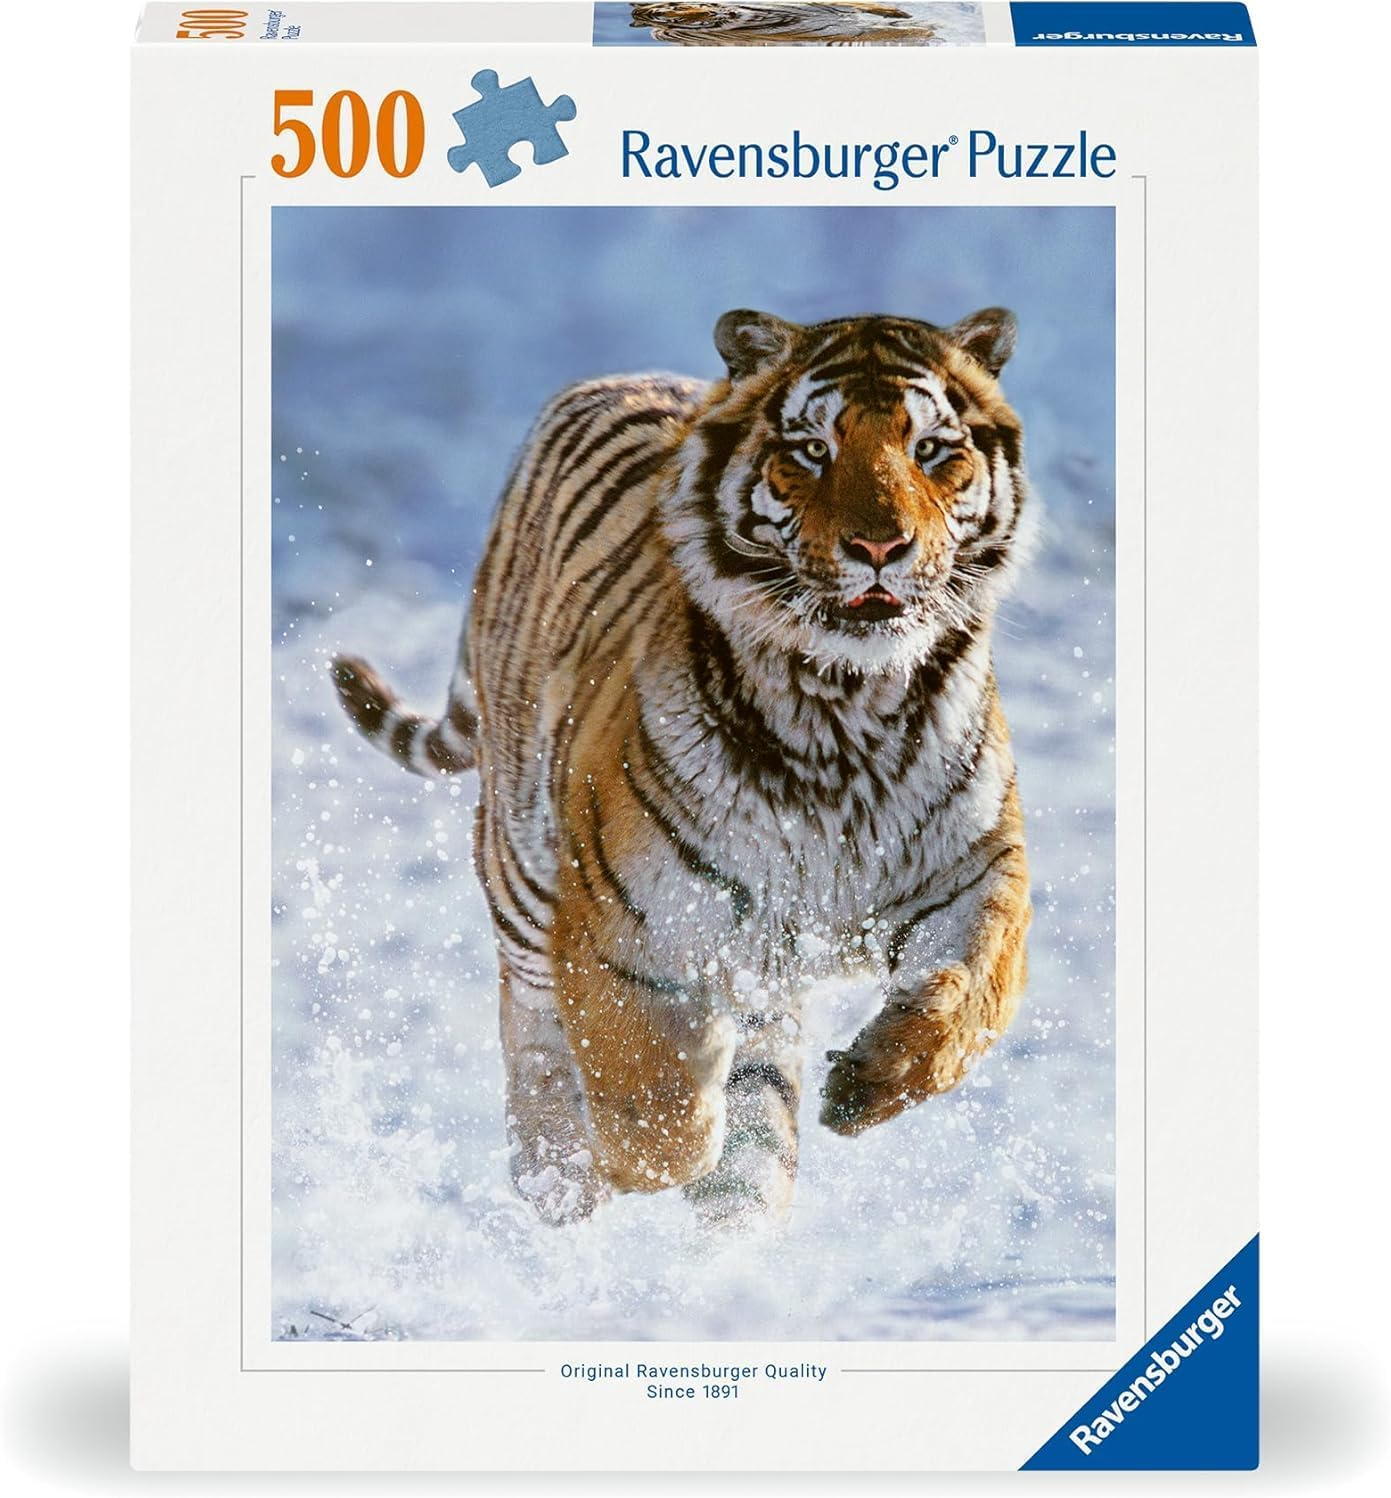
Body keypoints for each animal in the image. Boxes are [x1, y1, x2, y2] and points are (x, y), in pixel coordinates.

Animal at [333, 307, 1033, 1228]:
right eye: (812, 450)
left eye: (930, 450)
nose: (880, 545)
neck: (844, 708)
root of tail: (612, 379)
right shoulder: (622, 926)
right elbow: (655, 1113)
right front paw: (628, 1154)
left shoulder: (977, 871)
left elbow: (971, 995)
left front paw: (867, 1085)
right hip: (521, 871)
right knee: (531, 1029)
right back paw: (557, 1180)